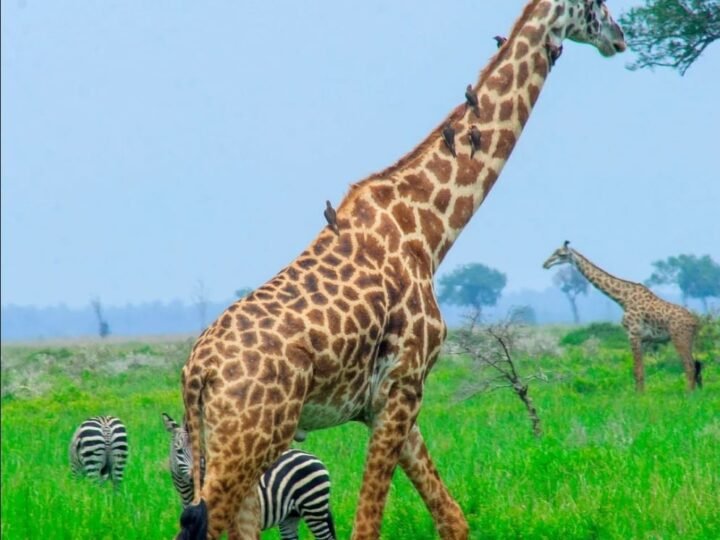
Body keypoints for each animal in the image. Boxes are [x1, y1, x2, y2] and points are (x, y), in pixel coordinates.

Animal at [162, 413, 335, 540]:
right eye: (178, 451)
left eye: (202, 451)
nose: (195, 479)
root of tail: (311, 456)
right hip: (290, 516)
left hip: (314, 509)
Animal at [178, 2, 626, 538]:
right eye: (598, 7)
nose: (620, 38)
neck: (429, 233)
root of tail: (196, 372)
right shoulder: (404, 386)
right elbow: (367, 526)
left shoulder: (386, 403)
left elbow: (452, 518)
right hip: (250, 436)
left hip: (227, 438)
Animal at [543, 241, 702, 392]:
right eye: (554, 252)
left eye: (561, 254)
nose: (545, 264)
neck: (622, 299)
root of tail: (695, 322)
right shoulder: (643, 339)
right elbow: (641, 370)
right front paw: (641, 393)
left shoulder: (633, 334)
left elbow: (636, 371)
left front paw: (639, 396)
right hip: (688, 339)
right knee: (695, 365)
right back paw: (695, 392)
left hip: (679, 338)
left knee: (689, 366)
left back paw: (688, 394)